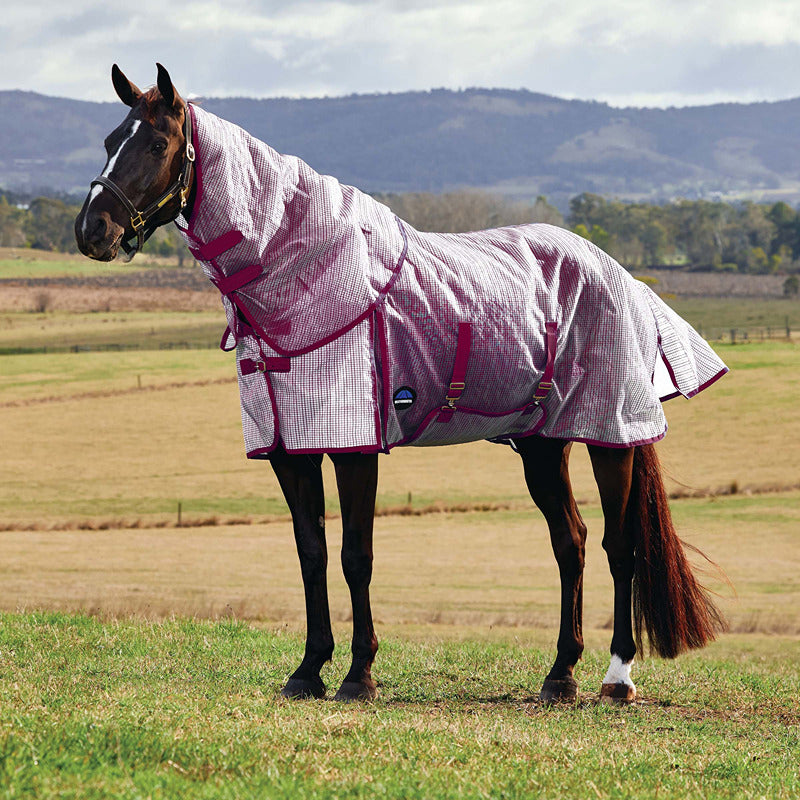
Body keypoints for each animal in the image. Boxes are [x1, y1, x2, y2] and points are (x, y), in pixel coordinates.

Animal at [75, 64, 727, 705]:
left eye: (157, 143)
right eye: (109, 141)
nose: (91, 230)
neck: (310, 275)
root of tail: (621, 276)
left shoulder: (355, 446)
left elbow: (355, 556)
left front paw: (358, 675)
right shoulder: (289, 450)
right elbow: (311, 553)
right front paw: (308, 670)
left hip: (610, 436)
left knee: (621, 546)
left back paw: (617, 678)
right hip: (543, 443)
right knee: (572, 541)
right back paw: (560, 674)